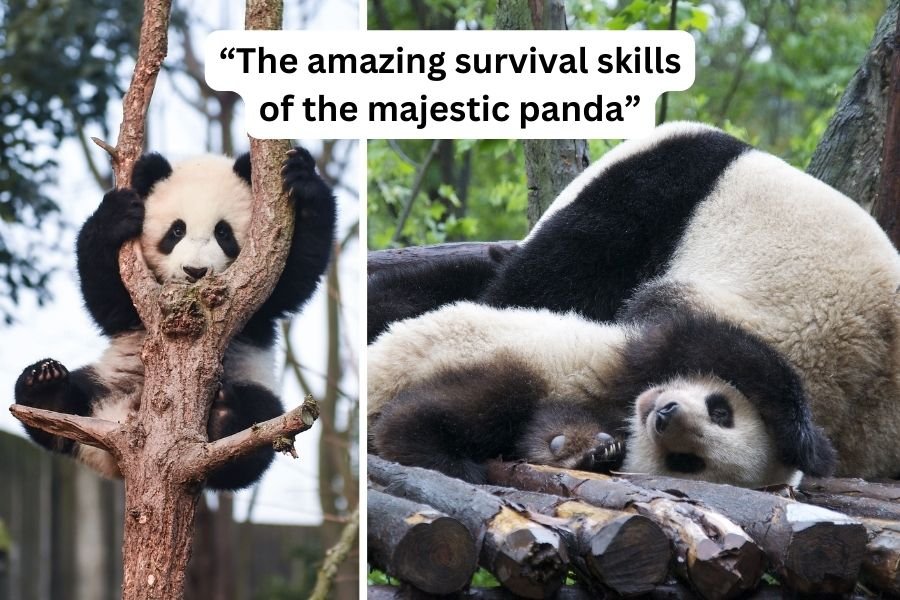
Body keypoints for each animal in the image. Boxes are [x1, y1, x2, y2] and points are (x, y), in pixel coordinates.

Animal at [14, 147, 336, 490]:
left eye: (223, 232)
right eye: (176, 231)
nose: (195, 271)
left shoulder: (261, 301)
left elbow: (295, 276)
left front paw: (302, 177)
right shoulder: (135, 304)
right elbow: (105, 298)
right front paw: (116, 215)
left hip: (252, 382)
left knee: (257, 428)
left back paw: (225, 418)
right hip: (107, 381)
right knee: (58, 405)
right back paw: (46, 386)